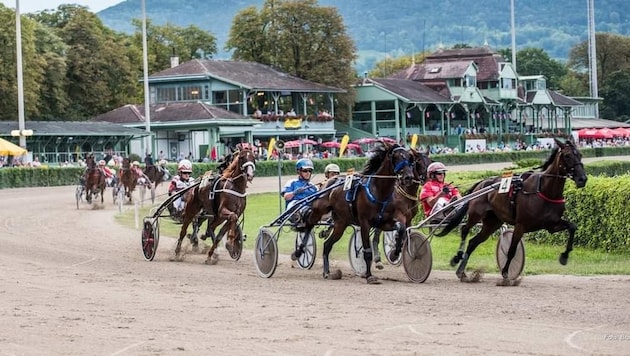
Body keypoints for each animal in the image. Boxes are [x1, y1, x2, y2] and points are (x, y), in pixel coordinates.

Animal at [300, 142, 414, 284]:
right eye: (396, 157)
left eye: (409, 158)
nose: (409, 177)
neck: (379, 191)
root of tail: (329, 182)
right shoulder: (365, 223)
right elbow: (367, 251)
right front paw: (369, 276)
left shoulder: (384, 222)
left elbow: (401, 228)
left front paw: (394, 253)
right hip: (319, 210)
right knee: (309, 224)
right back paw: (299, 251)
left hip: (340, 224)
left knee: (327, 245)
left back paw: (327, 272)